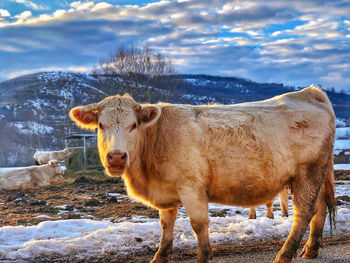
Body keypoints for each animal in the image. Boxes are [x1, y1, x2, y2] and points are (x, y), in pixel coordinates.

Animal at [69, 87, 336, 263]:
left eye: (133, 125)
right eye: (101, 125)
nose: (116, 157)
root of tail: (310, 92)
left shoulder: (191, 187)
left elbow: (199, 225)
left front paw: (203, 258)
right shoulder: (167, 191)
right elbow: (166, 225)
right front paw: (159, 257)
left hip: (308, 172)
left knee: (304, 212)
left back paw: (284, 255)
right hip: (318, 175)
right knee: (320, 208)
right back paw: (311, 249)